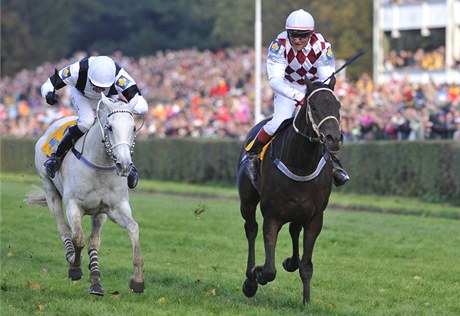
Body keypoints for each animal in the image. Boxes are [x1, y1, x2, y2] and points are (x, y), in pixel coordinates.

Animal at [26, 93, 144, 294]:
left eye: (133, 127)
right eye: (110, 127)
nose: (125, 165)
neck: (100, 164)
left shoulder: (115, 208)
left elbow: (133, 228)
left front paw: (137, 280)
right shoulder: (73, 204)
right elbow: (78, 238)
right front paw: (74, 267)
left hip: (99, 213)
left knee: (94, 240)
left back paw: (95, 280)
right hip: (51, 192)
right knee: (64, 229)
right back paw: (72, 257)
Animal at [237, 76, 342, 304]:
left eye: (338, 105)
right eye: (313, 106)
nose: (333, 138)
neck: (301, 165)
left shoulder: (315, 217)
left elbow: (307, 265)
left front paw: (306, 302)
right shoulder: (272, 215)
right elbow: (269, 269)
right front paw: (257, 274)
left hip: (298, 211)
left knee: (294, 230)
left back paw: (290, 262)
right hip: (247, 201)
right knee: (251, 229)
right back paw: (250, 278)